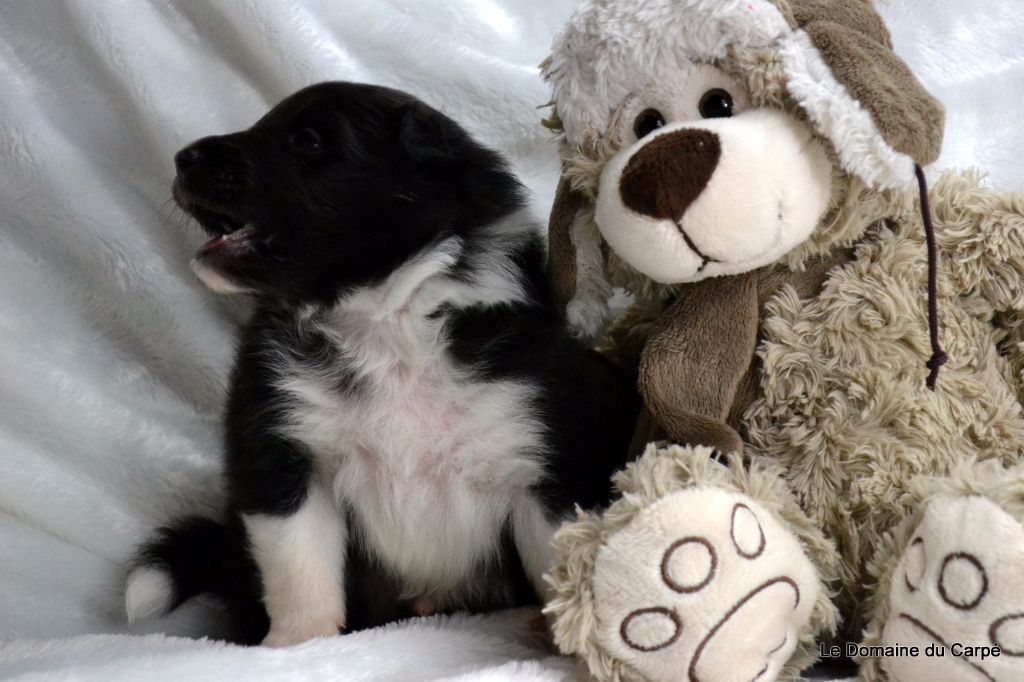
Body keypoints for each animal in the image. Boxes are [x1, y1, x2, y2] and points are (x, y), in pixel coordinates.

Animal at [125, 82, 638, 646]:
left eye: (307, 141)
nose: (182, 157)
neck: (384, 320)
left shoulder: (544, 466)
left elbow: (559, 562)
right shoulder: (284, 454)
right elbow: (298, 568)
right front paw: (295, 646)